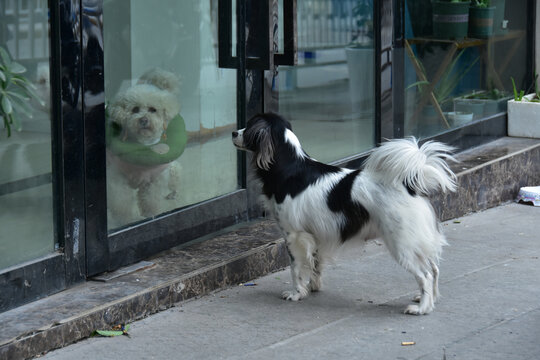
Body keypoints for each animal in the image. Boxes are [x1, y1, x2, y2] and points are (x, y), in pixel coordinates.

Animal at [106, 68, 185, 228]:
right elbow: (121, 203)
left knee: (175, 179)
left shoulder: (152, 181)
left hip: (172, 170)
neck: (141, 146)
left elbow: (150, 201)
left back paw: (172, 193)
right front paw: (124, 221)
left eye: (153, 109)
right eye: (135, 109)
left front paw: (150, 215)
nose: (143, 120)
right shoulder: (117, 180)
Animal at [232, 113, 456, 316]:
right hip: (416, 241)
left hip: (402, 245)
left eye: (249, 126)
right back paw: (429, 299)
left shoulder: (294, 236)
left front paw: (296, 293)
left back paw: (422, 308)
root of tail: (408, 184)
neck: (290, 165)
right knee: (434, 268)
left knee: (425, 274)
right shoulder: (315, 236)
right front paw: (313, 287)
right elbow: (315, 264)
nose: (234, 132)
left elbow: (296, 268)